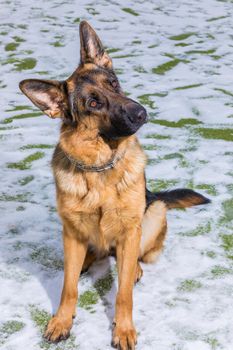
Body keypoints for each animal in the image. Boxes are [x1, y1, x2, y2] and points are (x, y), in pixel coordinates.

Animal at [20, 21, 209, 350]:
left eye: (114, 83)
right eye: (93, 103)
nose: (141, 113)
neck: (99, 170)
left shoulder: (130, 229)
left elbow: (123, 294)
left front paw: (123, 329)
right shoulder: (71, 232)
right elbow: (68, 287)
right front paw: (62, 320)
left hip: (154, 211)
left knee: (134, 257)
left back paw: (134, 269)